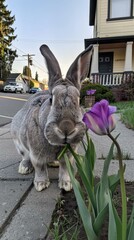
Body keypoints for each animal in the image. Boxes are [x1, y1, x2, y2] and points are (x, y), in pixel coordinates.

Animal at [10, 44, 93, 192]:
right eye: (50, 99)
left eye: (78, 101)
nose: (66, 127)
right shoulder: (36, 155)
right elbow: (39, 167)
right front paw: (41, 185)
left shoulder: (69, 156)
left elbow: (65, 169)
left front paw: (66, 185)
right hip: (19, 142)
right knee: (25, 157)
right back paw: (24, 168)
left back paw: (54, 163)